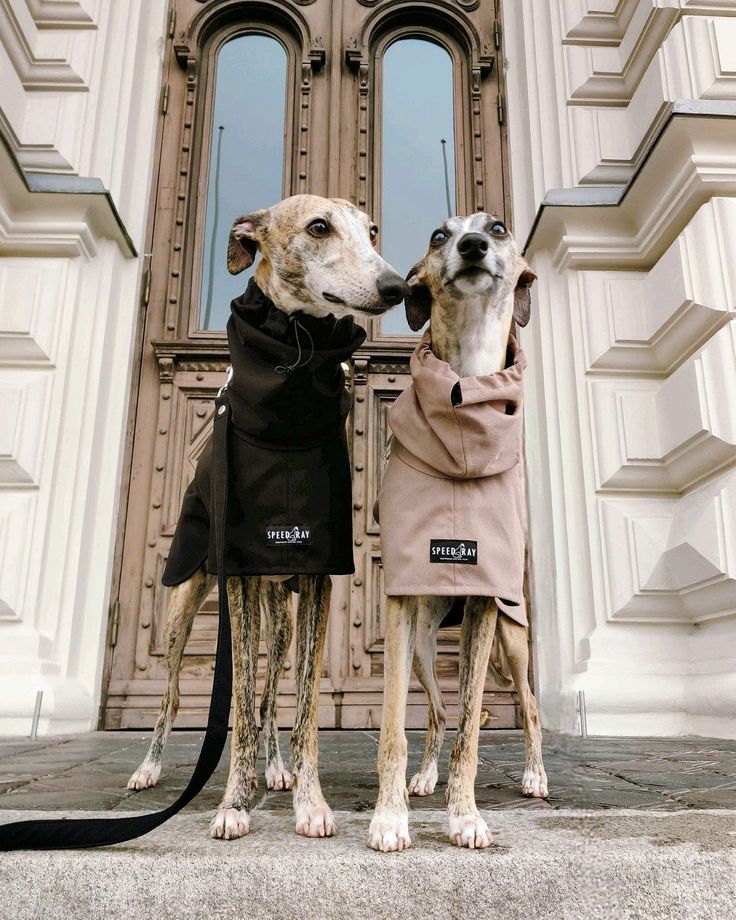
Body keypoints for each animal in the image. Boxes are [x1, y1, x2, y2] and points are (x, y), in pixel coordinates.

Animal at [125, 194, 402, 840]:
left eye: (372, 230)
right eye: (319, 227)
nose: (397, 286)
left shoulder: (320, 578)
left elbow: (303, 707)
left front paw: (309, 800)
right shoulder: (239, 579)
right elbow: (237, 705)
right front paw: (232, 801)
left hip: (281, 615)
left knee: (271, 690)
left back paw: (275, 769)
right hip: (185, 605)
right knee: (178, 695)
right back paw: (152, 768)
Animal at [368, 212, 548, 852]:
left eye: (498, 227)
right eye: (438, 236)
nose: (472, 245)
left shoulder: (484, 603)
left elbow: (473, 725)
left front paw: (465, 816)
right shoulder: (399, 602)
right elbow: (395, 725)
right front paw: (390, 817)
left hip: (514, 640)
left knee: (530, 706)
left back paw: (535, 776)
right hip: (424, 644)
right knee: (438, 713)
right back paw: (424, 778)